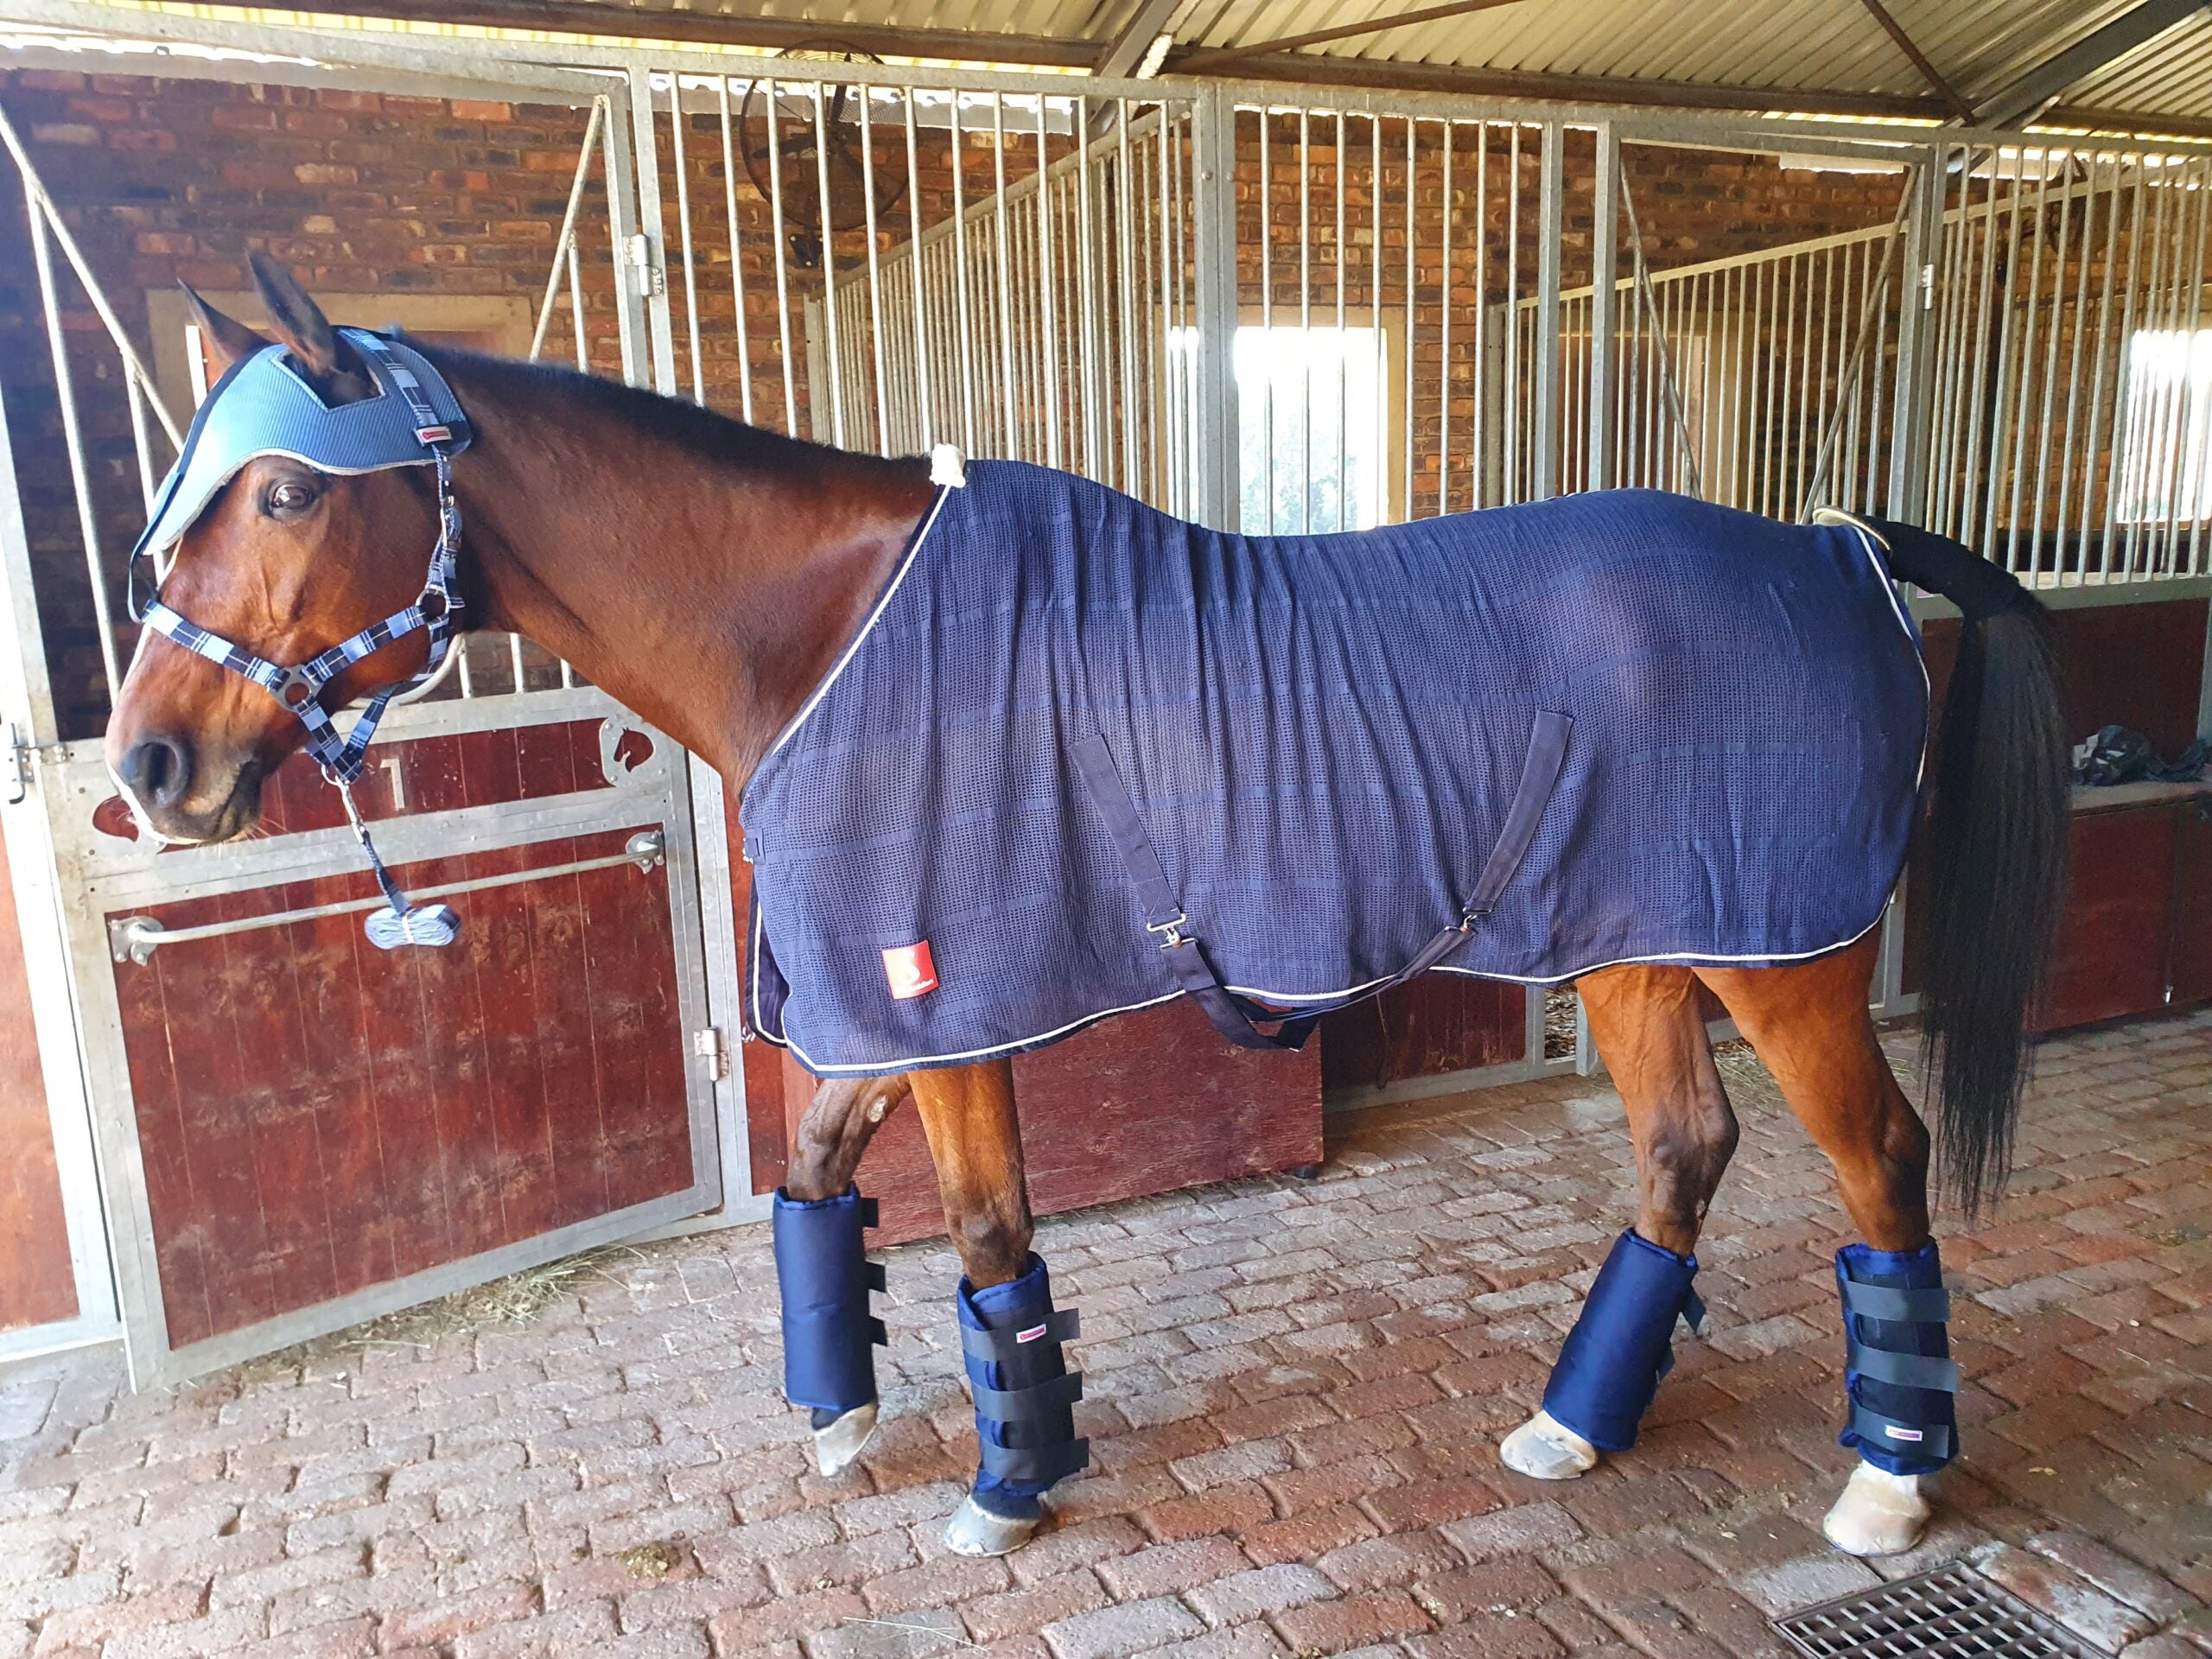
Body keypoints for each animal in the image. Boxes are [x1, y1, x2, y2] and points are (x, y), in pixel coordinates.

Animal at [107, 256, 2069, 1562]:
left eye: (281, 490)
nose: (148, 766)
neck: (823, 637)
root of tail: (1833, 546)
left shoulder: (945, 1002)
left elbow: (985, 1241)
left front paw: (1005, 1488)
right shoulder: (869, 1005)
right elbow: (817, 1187)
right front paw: (839, 1420)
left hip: (1784, 958)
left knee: (1880, 1162)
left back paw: (1886, 1480)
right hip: (1640, 947)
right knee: (1679, 1152)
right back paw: (1569, 1431)